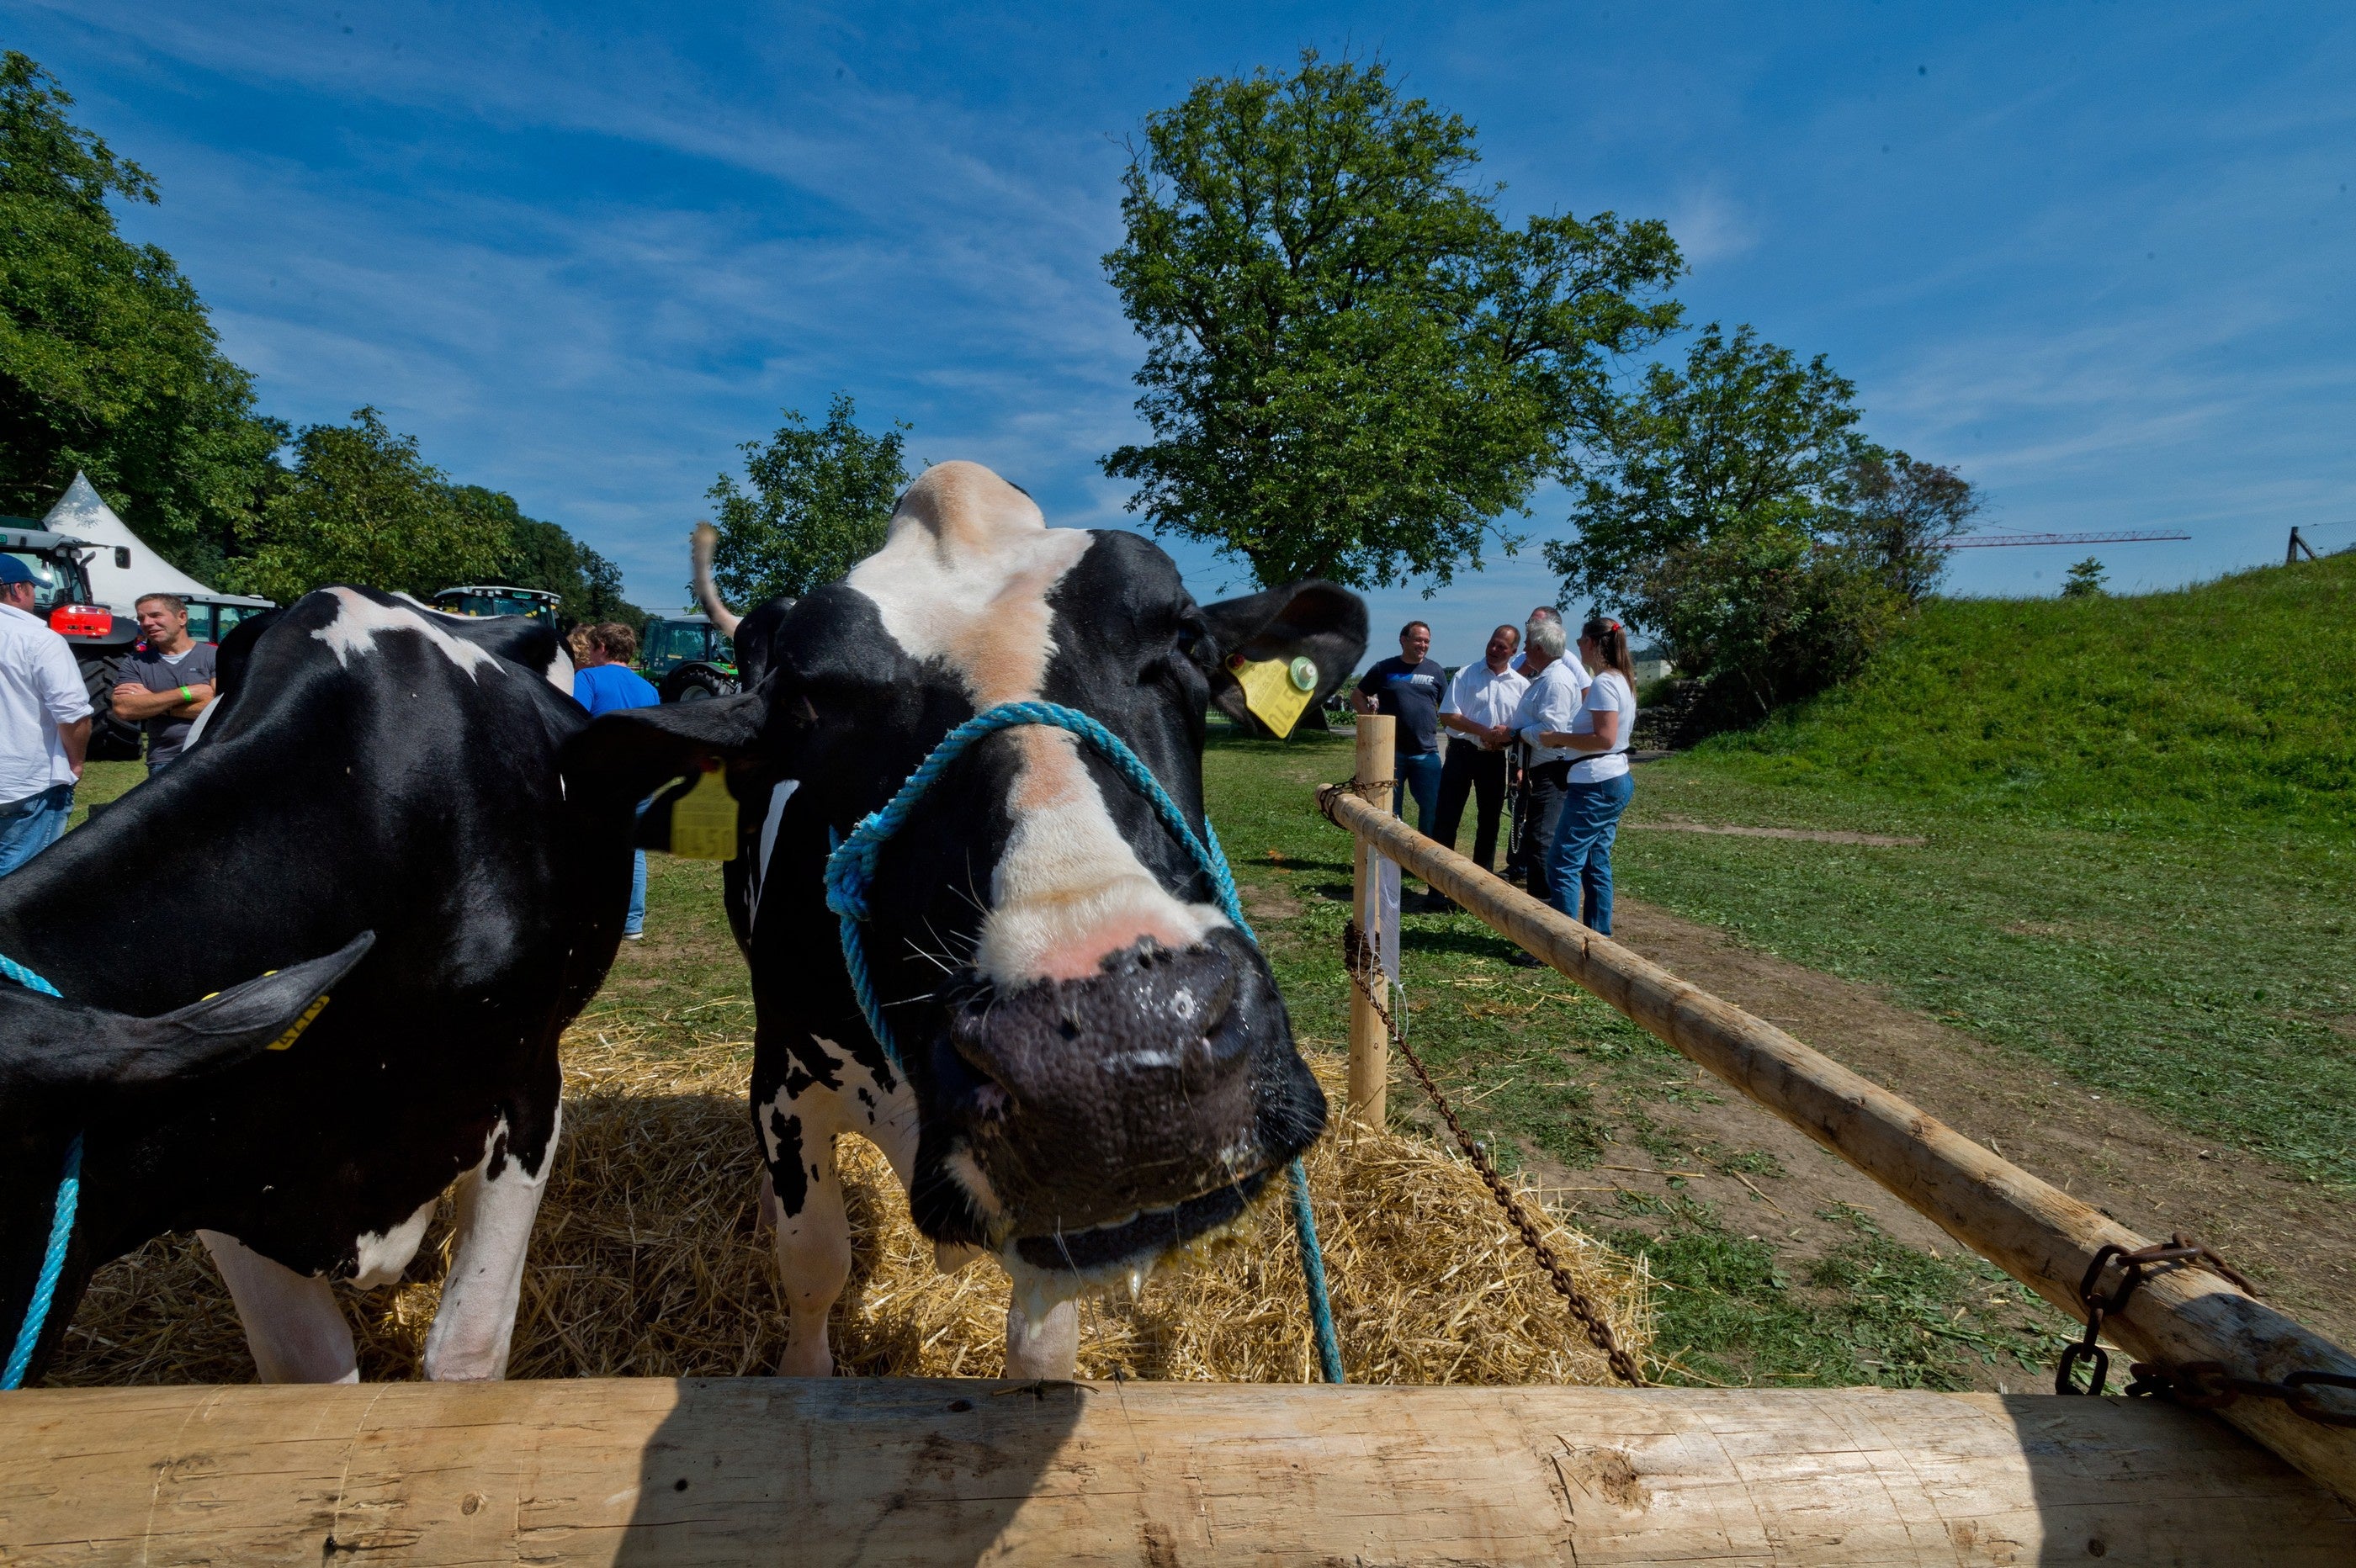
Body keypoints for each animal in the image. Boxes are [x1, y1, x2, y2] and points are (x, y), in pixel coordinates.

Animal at [572, 461, 1376, 1365]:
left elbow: (1042, 1339)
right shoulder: (782, 1080)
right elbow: (814, 1263)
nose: (1122, 1053)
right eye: (809, 706)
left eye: (1186, 640)